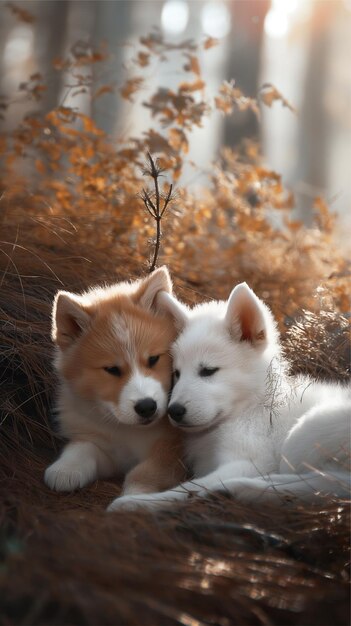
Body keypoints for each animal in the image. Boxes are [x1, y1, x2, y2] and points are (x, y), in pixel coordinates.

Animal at [108, 282, 350, 508]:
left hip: (307, 430)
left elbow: (188, 488)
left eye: (208, 371)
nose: (173, 411)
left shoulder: (248, 461)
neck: (249, 408)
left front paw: (137, 502)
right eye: (176, 373)